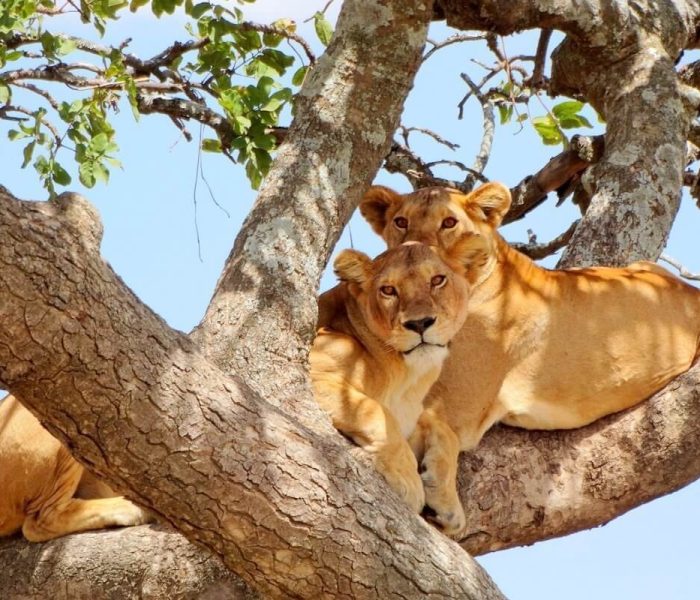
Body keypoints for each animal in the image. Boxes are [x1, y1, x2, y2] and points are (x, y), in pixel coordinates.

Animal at [311, 240, 487, 513]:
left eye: (437, 280)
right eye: (388, 290)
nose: (420, 323)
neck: (407, 378)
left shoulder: (413, 412)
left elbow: (444, 431)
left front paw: (448, 504)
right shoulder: (313, 368)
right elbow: (377, 413)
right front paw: (408, 481)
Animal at [360, 181, 700, 536]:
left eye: (449, 223)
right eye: (401, 222)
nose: (415, 254)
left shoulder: (457, 409)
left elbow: (434, 428)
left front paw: (445, 503)